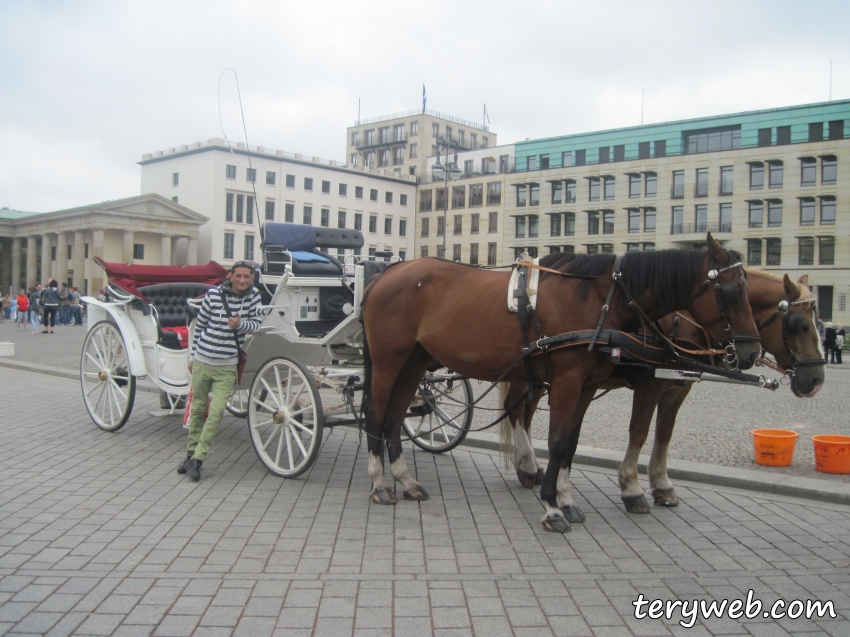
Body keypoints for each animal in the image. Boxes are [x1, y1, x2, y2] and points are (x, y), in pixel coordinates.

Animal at [362, 234, 760, 532]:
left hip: (414, 362)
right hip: (388, 361)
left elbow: (570, 442)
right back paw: (380, 484)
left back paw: (405, 481)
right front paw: (553, 508)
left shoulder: (585, 385)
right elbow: (557, 442)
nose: (751, 351)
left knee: (395, 417)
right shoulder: (570, 381)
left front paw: (566, 500)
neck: (601, 300)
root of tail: (388, 273)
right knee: (376, 414)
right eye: (733, 291)